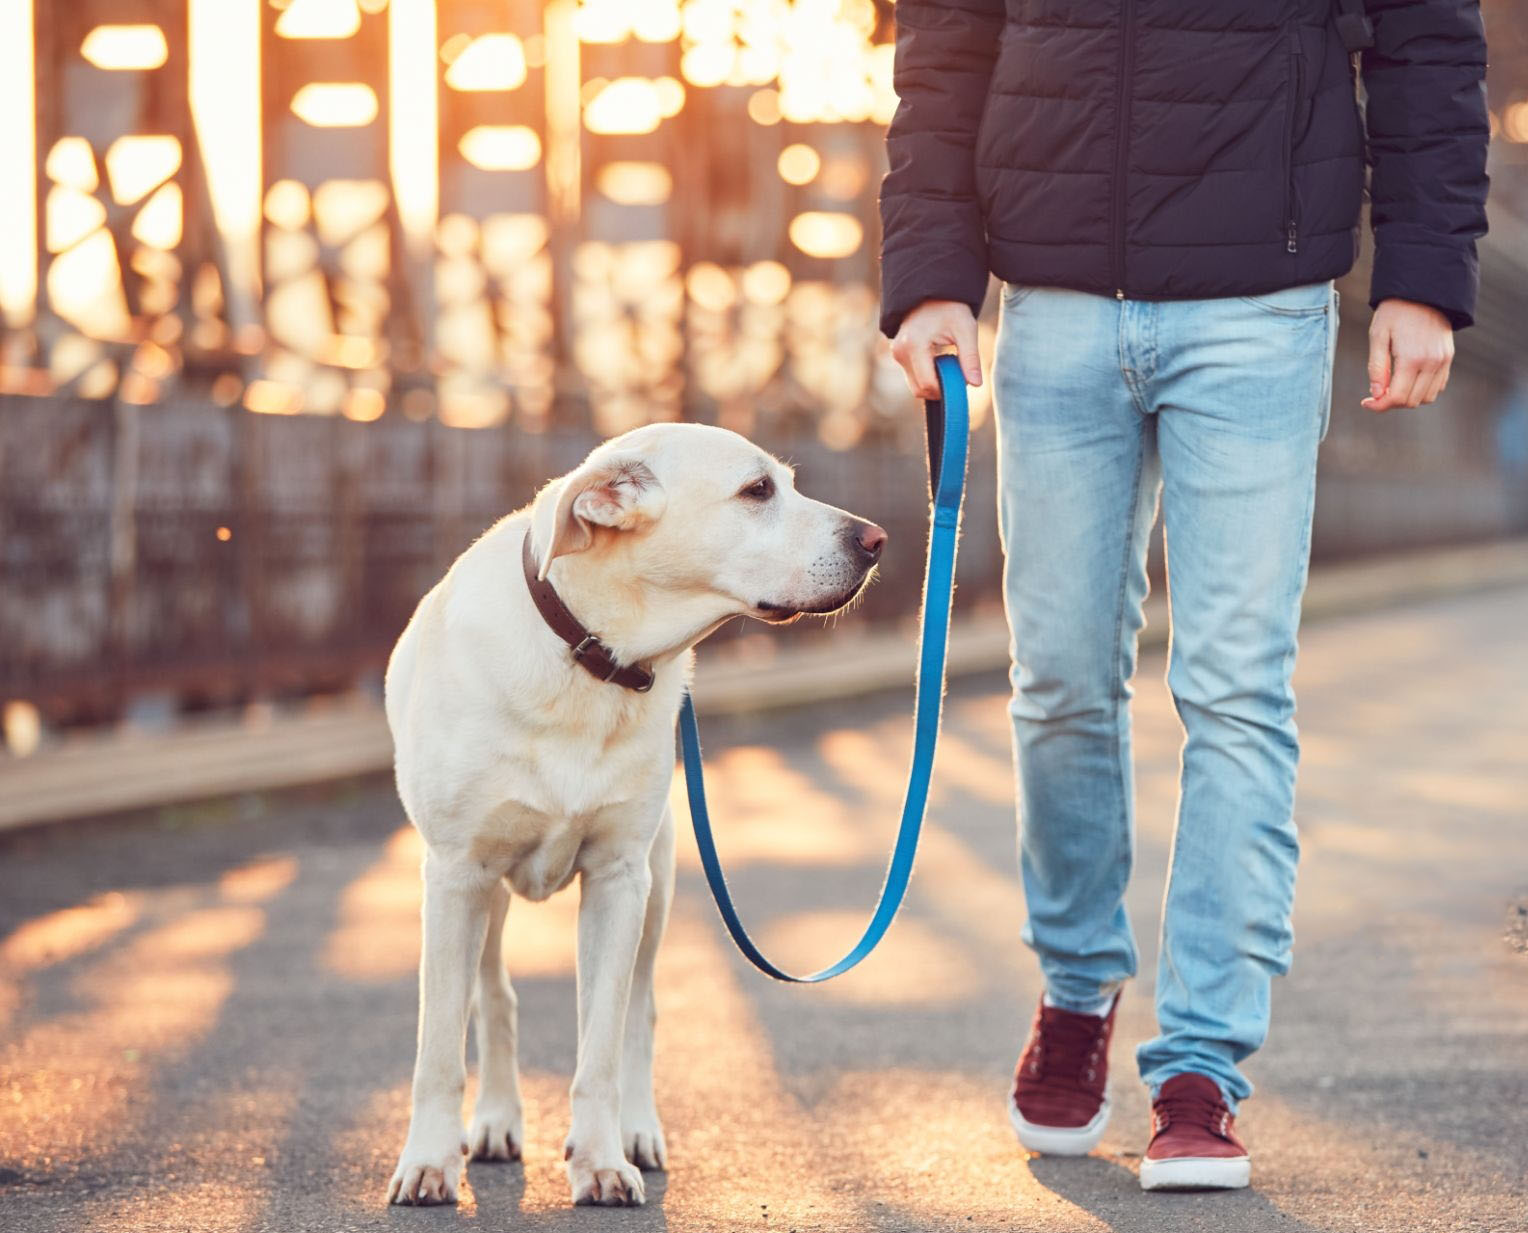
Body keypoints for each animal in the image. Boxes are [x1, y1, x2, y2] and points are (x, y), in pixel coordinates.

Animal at [380, 421, 886, 1203]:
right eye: (758, 490)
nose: (877, 539)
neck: (591, 657)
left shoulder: (620, 880)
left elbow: (602, 1047)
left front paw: (599, 1159)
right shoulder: (456, 876)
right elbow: (438, 1046)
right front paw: (429, 1160)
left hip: (659, 882)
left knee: (639, 1013)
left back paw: (637, 1131)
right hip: (486, 895)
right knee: (493, 999)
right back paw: (496, 1120)